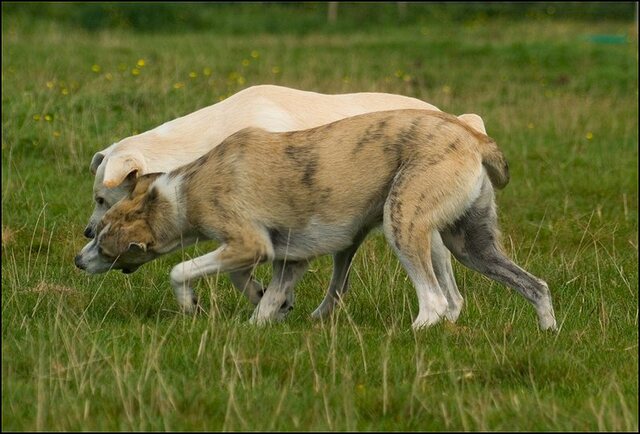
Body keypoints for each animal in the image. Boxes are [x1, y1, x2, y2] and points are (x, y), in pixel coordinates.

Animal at [74, 110, 556, 330]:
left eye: (104, 244)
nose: (78, 258)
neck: (186, 189)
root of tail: (471, 136)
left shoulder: (249, 243)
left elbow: (179, 270)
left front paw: (190, 304)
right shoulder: (289, 258)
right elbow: (265, 296)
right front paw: (262, 319)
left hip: (403, 222)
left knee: (437, 301)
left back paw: (412, 331)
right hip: (471, 245)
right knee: (536, 285)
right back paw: (548, 330)